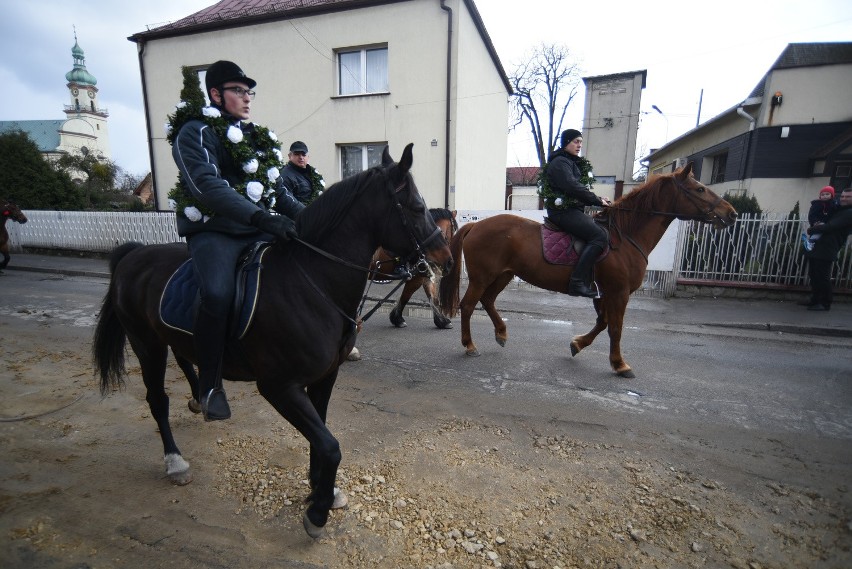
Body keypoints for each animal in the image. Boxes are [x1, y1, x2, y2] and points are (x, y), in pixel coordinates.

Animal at [92, 143, 452, 536]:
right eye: (415, 207)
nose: (446, 259)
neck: (311, 282)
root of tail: (135, 253)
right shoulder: (280, 387)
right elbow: (330, 445)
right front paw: (317, 512)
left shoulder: (325, 377)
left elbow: (321, 435)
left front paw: (320, 489)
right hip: (146, 344)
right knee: (157, 400)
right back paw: (175, 461)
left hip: (167, 337)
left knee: (188, 359)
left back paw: (203, 398)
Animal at [440, 164, 740, 378]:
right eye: (699, 189)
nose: (732, 213)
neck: (625, 236)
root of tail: (475, 225)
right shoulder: (618, 292)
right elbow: (615, 327)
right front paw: (619, 364)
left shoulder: (603, 292)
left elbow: (603, 322)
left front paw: (578, 344)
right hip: (483, 276)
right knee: (468, 305)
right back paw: (469, 345)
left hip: (503, 274)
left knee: (487, 301)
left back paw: (501, 333)